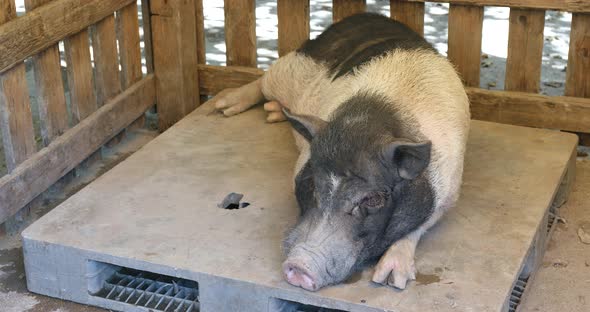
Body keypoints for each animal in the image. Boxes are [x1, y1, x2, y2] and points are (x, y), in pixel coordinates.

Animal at [212, 11, 472, 290]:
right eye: (312, 182)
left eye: (374, 199)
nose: (300, 266)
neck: (373, 120)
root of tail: (365, 16)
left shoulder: (449, 192)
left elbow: (416, 228)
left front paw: (390, 280)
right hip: (293, 65)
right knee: (264, 79)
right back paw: (224, 106)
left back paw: (272, 113)